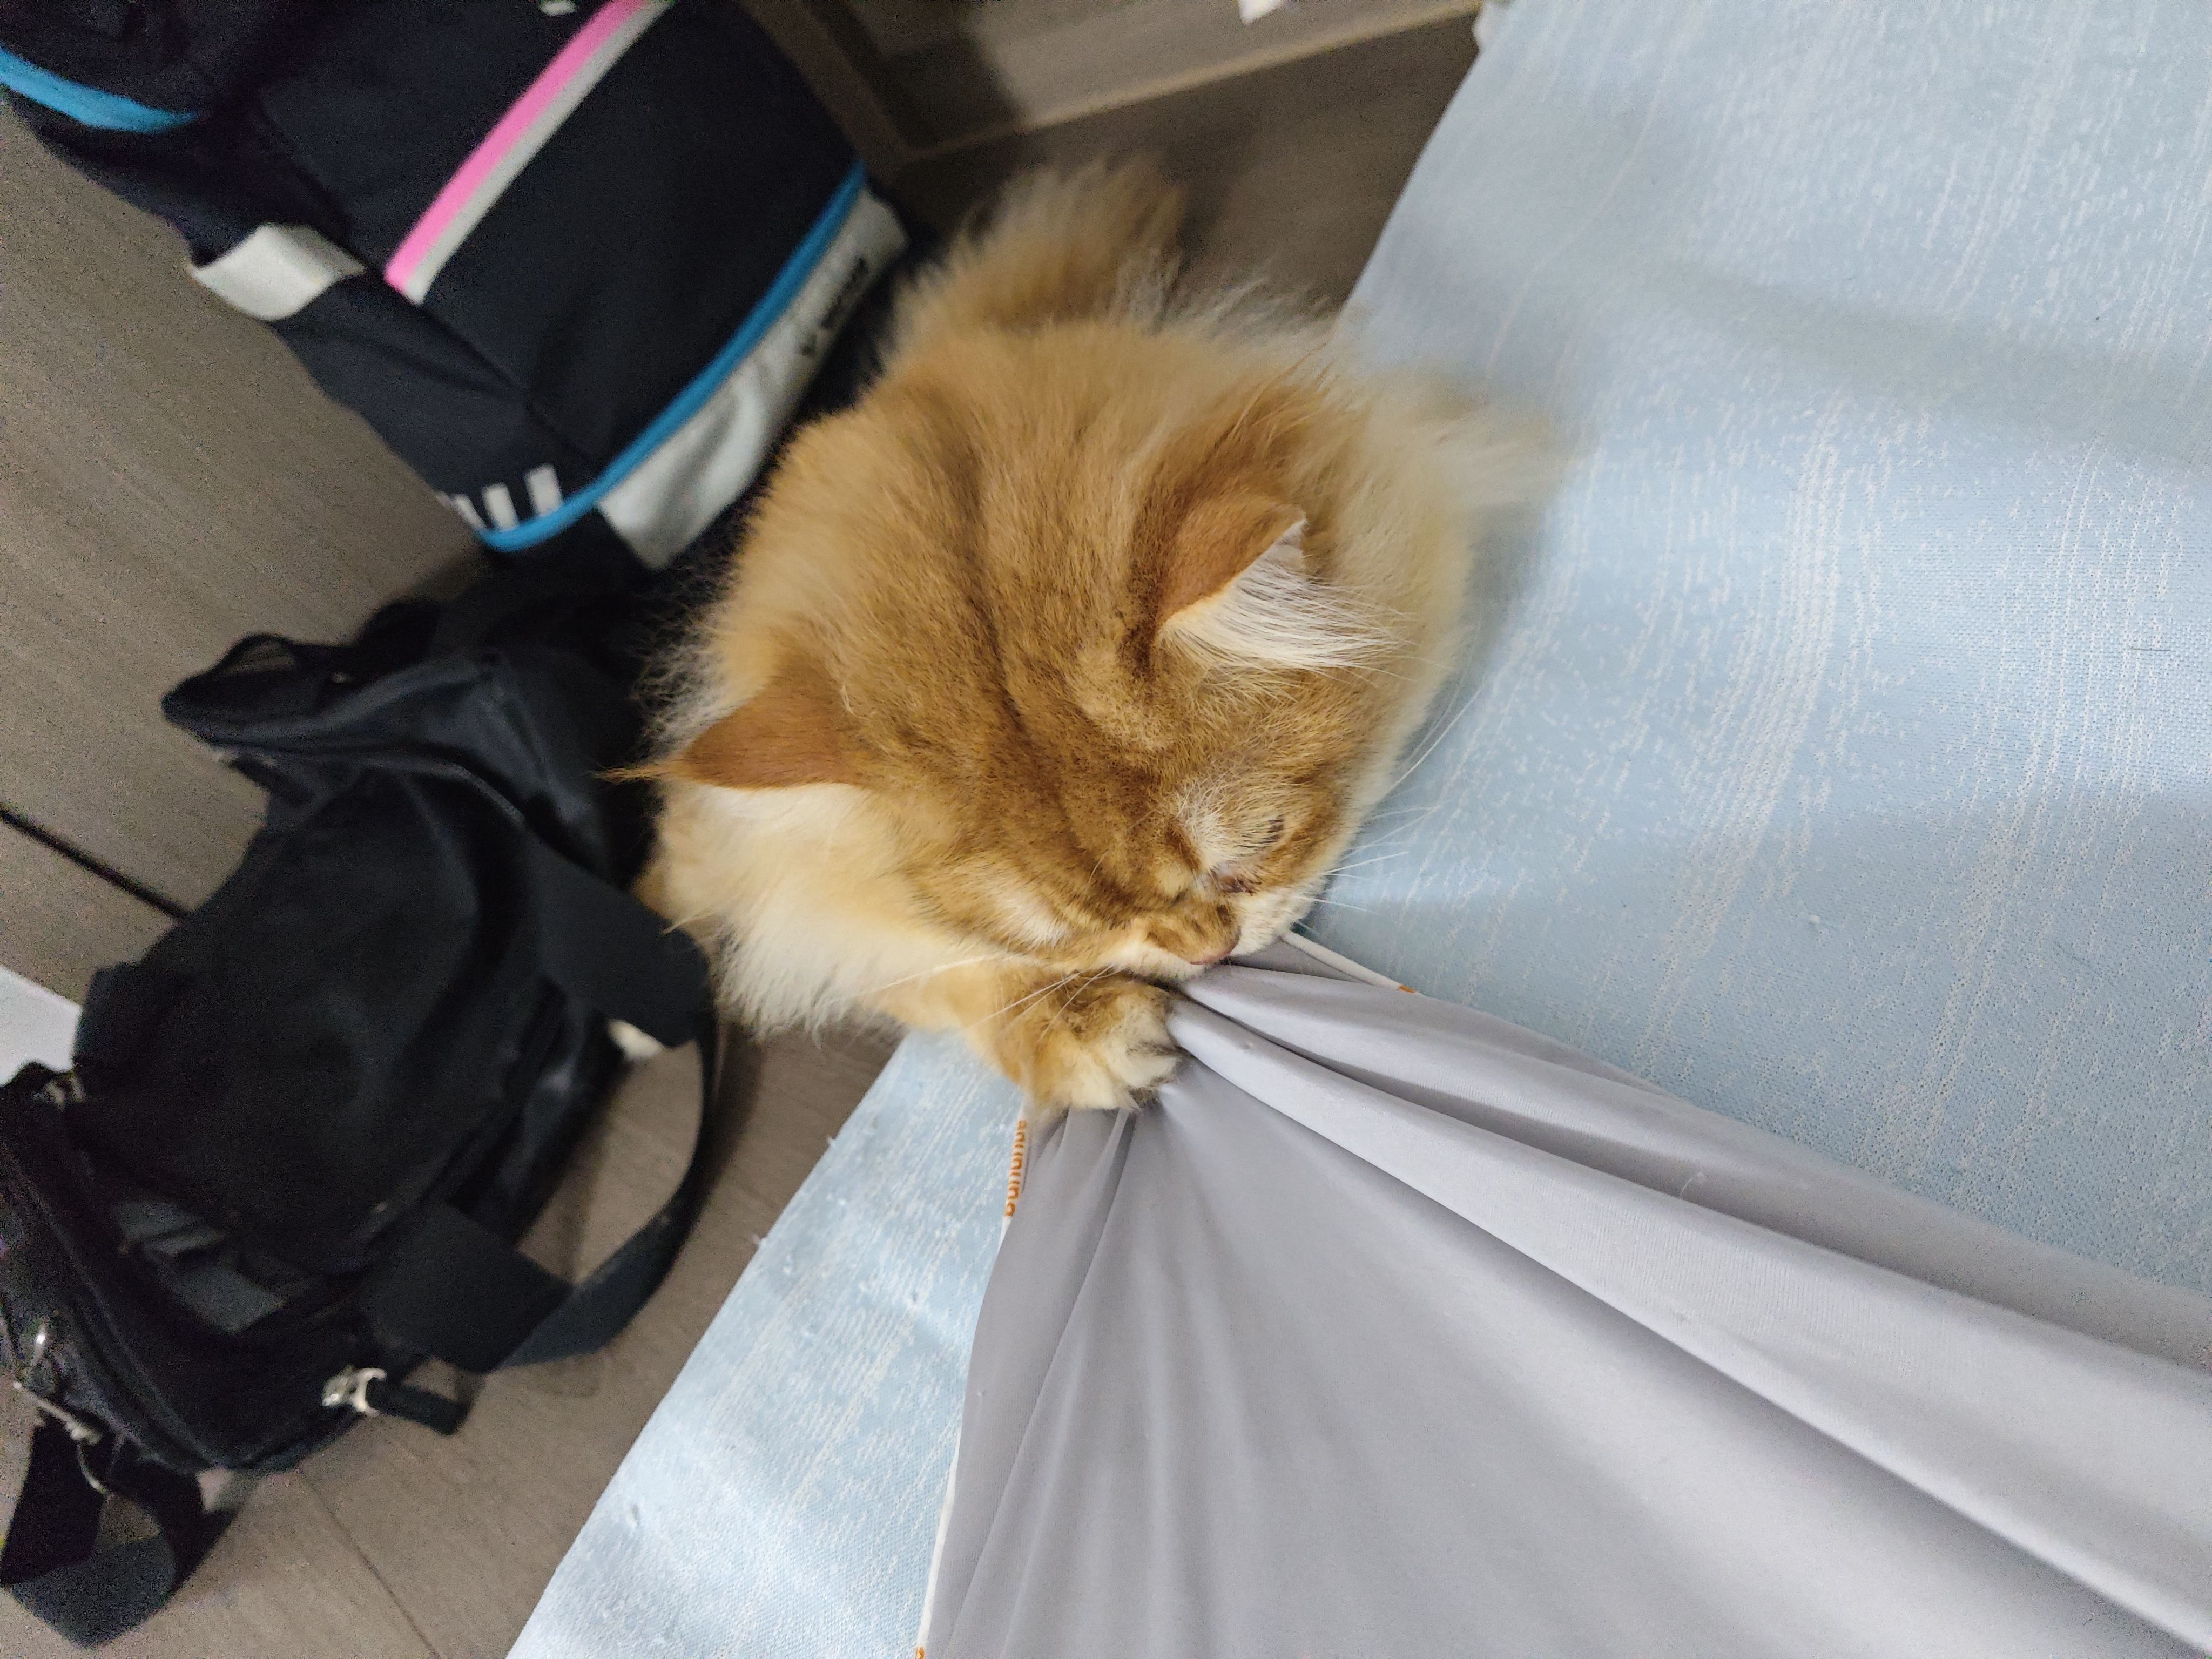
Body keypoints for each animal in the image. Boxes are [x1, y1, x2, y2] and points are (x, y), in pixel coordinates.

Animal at [638, 161, 1539, 1110]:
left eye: (1259, 846)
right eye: (1075, 934)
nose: (1207, 951)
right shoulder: (811, 911)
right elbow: (949, 977)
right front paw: (1076, 1027)